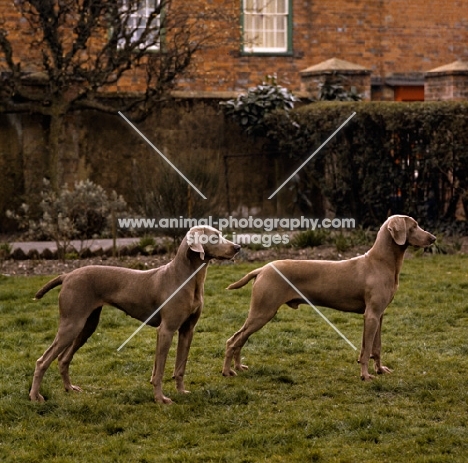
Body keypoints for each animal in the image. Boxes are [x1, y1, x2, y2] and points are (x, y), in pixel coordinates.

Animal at [31, 227, 239, 404]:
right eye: (214, 237)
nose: (238, 247)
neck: (187, 279)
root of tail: (67, 275)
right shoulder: (166, 330)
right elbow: (160, 370)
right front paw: (160, 399)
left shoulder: (188, 330)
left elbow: (180, 366)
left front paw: (181, 392)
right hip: (72, 324)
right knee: (42, 361)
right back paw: (35, 396)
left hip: (87, 326)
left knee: (63, 359)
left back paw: (69, 388)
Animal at [222, 216, 436, 382]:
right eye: (414, 225)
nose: (433, 238)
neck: (380, 262)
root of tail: (262, 269)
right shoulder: (371, 315)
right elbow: (367, 349)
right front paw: (365, 375)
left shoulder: (379, 315)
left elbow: (376, 347)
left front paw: (380, 369)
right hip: (263, 311)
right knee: (233, 340)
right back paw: (227, 371)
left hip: (261, 312)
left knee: (240, 339)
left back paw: (238, 367)